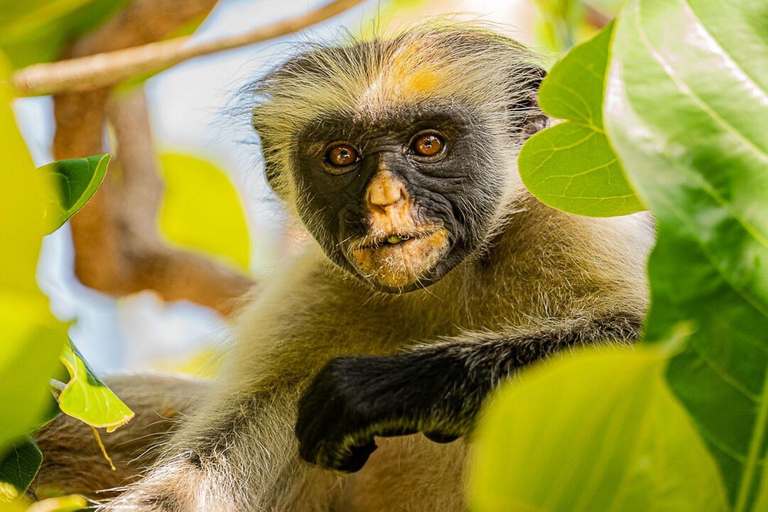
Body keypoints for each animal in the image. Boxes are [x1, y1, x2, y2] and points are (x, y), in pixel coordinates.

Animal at [36, 24, 652, 512]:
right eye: (341, 156)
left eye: (429, 144)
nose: (384, 198)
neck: (444, 288)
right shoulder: (309, 300)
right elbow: (193, 480)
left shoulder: (560, 226)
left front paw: (389, 388)